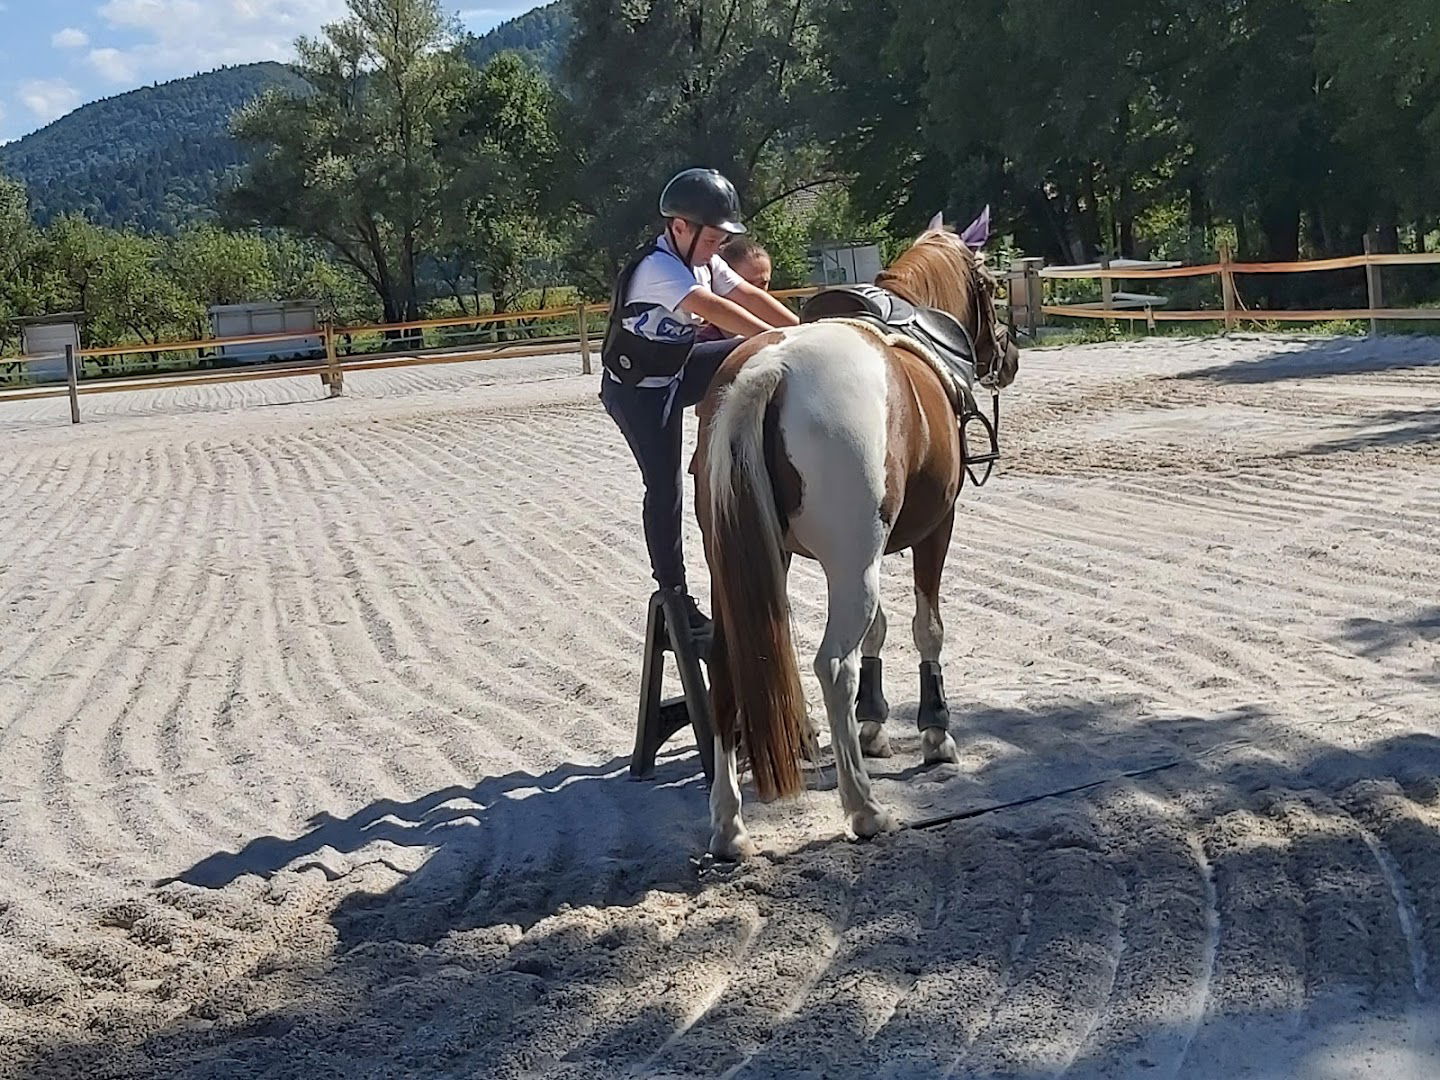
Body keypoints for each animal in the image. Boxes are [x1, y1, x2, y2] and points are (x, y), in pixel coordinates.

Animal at [691, 217, 1019, 864]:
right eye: (992, 285)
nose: (1010, 354)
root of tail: (772, 369)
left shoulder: (864, 554)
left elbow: (879, 630)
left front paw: (873, 723)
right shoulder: (933, 530)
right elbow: (924, 626)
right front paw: (934, 731)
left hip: (742, 570)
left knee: (726, 667)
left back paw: (729, 826)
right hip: (851, 566)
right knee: (832, 665)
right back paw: (864, 808)